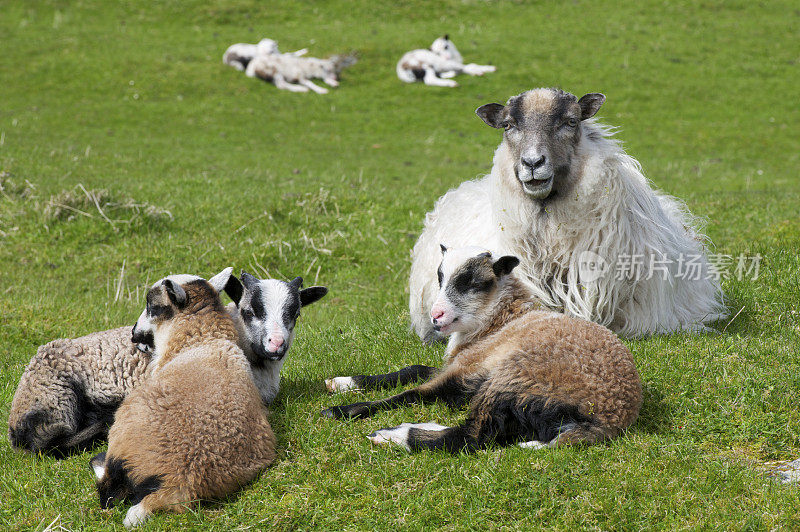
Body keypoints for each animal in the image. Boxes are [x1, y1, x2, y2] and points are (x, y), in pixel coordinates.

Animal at [92, 274, 276, 528]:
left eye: (152, 306)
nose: (133, 333)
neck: (203, 338)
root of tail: (180, 481)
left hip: (124, 430)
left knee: (109, 489)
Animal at [322, 246, 640, 454]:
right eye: (440, 276)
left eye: (473, 282)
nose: (435, 316)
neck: (500, 320)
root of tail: (608, 419)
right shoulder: (464, 364)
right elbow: (412, 370)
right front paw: (344, 382)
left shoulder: (469, 368)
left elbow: (412, 393)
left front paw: (340, 409)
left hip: (514, 380)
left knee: (471, 436)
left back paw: (394, 436)